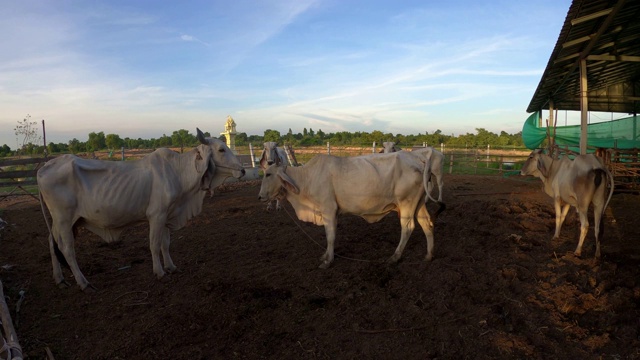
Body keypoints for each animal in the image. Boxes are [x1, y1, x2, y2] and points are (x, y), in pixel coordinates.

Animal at [38, 129, 245, 290]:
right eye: (221, 149)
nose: (243, 170)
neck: (178, 172)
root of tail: (44, 167)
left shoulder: (167, 215)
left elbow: (165, 244)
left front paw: (171, 267)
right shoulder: (156, 215)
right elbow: (154, 244)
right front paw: (159, 272)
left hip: (61, 221)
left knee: (51, 242)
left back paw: (60, 279)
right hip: (64, 219)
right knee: (67, 249)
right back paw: (83, 283)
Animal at [258, 151, 442, 268]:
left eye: (268, 174)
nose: (259, 197)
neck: (307, 178)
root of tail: (417, 158)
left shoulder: (328, 209)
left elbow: (330, 237)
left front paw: (328, 261)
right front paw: (325, 255)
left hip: (406, 204)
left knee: (407, 228)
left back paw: (395, 257)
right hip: (419, 204)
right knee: (427, 224)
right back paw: (429, 255)